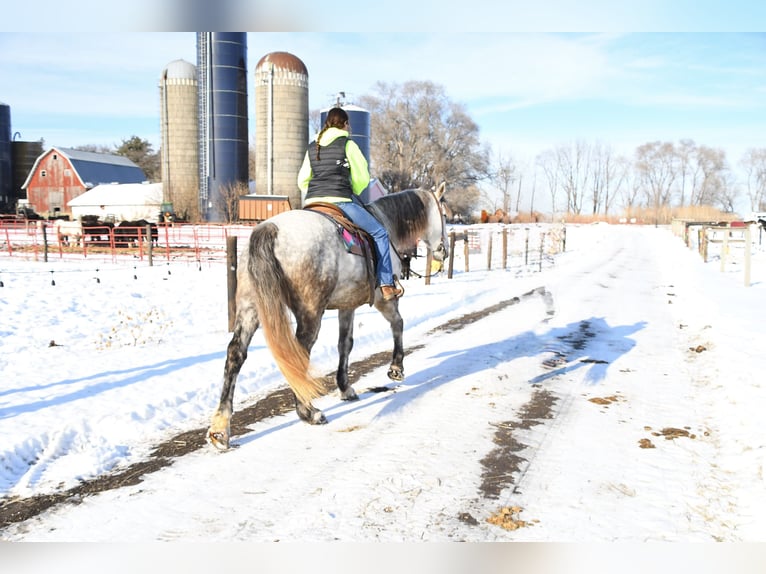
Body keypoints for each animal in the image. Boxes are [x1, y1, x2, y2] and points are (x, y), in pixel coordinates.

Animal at [207, 183, 449, 450]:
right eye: (444, 215)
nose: (444, 252)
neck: (386, 222)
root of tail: (270, 229)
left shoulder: (347, 305)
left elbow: (345, 344)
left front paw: (345, 387)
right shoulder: (383, 299)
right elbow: (397, 323)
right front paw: (396, 368)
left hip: (250, 308)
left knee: (236, 354)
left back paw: (220, 428)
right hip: (311, 312)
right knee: (299, 354)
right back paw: (309, 412)